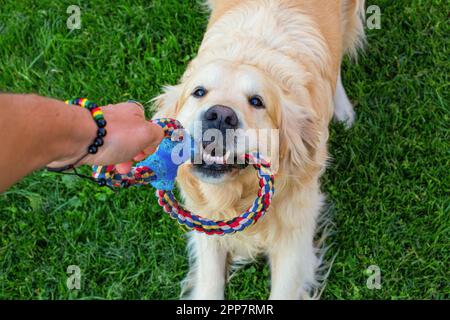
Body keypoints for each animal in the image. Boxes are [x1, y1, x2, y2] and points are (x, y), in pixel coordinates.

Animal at [155, 0, 366, 300]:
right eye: (199, 92)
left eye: (257, 101)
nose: (220, 116)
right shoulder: (207, 222)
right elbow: (209, 283)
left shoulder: (295, 234)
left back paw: (343, 109)